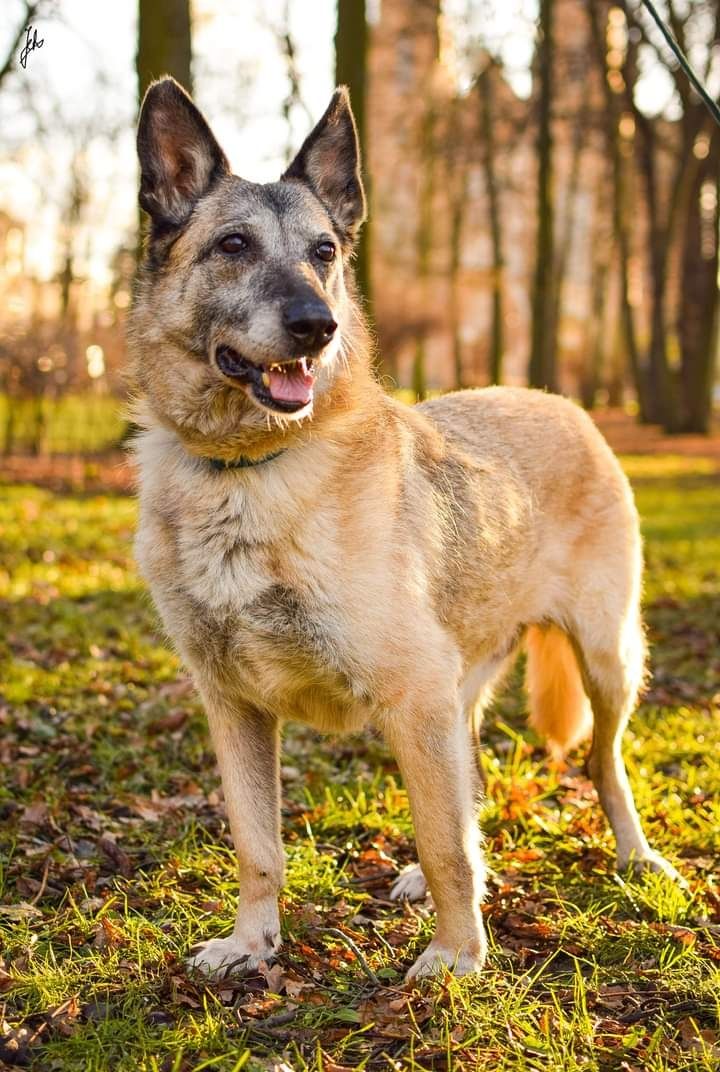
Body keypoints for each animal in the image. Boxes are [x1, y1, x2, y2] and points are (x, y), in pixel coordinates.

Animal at [126, 77, 681, 981]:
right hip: (462, 689)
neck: (247, 470)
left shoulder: (413, 694)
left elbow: (441, 835)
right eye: (234, 245)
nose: (318, 326)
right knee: (473, 781)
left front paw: (458, 956)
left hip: (604, 660)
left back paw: (633, 857)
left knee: (601, 765)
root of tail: (558, 401)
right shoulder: (234, 707)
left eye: (323, 252)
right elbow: (259, 846)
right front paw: (252, 943)